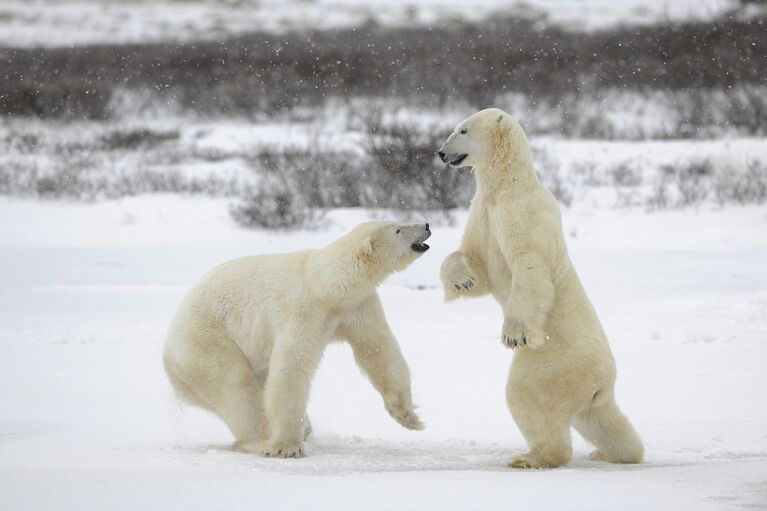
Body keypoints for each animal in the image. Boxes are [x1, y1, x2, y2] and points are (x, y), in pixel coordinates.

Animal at [164, 222, 432, 458]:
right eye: (398, 229)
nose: (426, 225)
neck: (326, 285)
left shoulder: (358, 306)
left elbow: (378, 349)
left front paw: (409, 418)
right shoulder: (302, 310)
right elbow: (291, 369)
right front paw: (285, 447)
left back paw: (303, 429)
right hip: (204, 343)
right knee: (236, 384)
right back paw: (258, 440)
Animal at [438, 108, 640, 468]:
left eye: (462, 130)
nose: (441, 153)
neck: (507, 184)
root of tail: (603, 379)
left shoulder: (522, 213)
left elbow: (530, 266)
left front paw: (512, 334)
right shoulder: (483, 212)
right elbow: (475, 260)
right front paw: (462, 279)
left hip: (554, 363)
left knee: (529, 395)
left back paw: (531, 457)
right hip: (591, 392)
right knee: (601, 418)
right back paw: (615, 452)